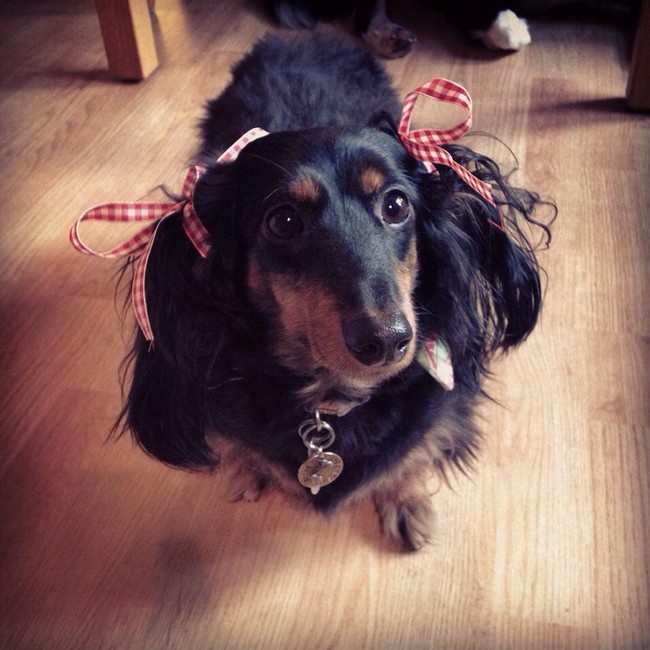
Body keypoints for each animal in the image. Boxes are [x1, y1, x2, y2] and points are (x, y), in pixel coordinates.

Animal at [77, 35, 552, 548]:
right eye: (283, 221)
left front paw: (405, 501)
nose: (386, 341)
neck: (329, 401)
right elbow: (243, 446)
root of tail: (303, 36)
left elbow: (412, 453)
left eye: (396, 205)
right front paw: (248, 471)